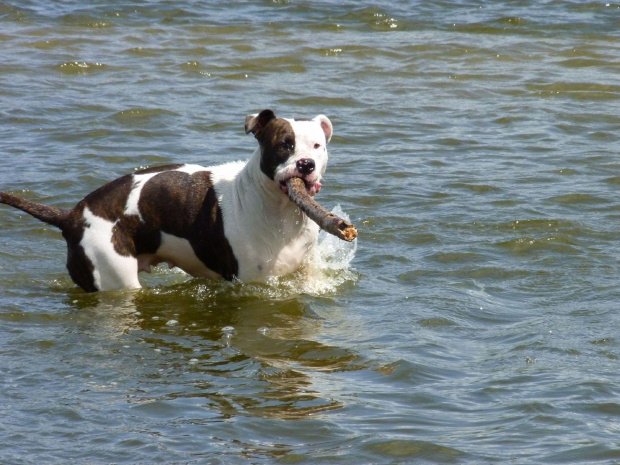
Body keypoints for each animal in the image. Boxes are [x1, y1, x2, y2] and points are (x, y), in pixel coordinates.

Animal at [0, 109, 334, 290]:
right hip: (113, 275)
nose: (306, 164)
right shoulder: (252, 284)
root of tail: (71, 215)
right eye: (283, 145)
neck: (281, 213)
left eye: (317, 145)